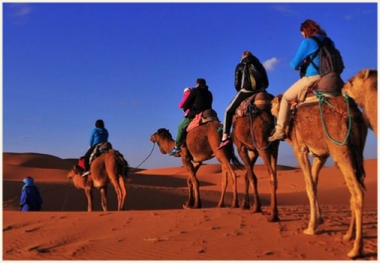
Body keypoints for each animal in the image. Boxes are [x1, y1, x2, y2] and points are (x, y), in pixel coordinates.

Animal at [230, 91, 280, 223]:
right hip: (274, 146)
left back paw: (273, 215)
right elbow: (247, 175)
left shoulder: (241, 147)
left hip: (263, 145)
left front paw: (256, 207)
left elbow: (252, 176)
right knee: (275, 175)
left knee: (271, 176)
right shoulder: (253, 150)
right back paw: (273, 211)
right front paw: (245, 204)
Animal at [272, 89, 366, 258]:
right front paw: (318, 221)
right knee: (354, 189)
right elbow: (314, 184)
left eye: (272, 104)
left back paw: (356, 249)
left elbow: (309, 186)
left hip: (340, 149)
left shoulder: (300, 149)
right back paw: (348, 235)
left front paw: (310, 228)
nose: (270, 105)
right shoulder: (321, 155)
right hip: (356, 152)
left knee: (357, 192)